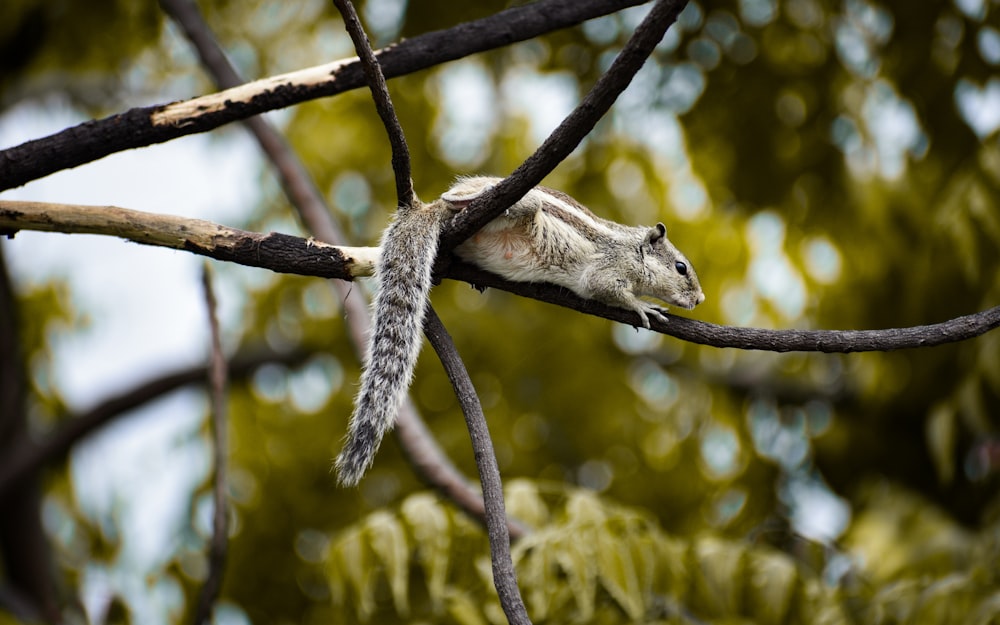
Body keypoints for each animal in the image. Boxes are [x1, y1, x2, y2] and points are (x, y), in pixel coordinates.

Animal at [336, 178, 704, 486]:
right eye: (681, 267)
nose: (700, 299)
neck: (633, 250)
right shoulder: (605, 270)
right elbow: (606, 289)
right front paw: (643, 307)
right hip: (517, 205)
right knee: (478, 201)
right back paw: (460, 200)